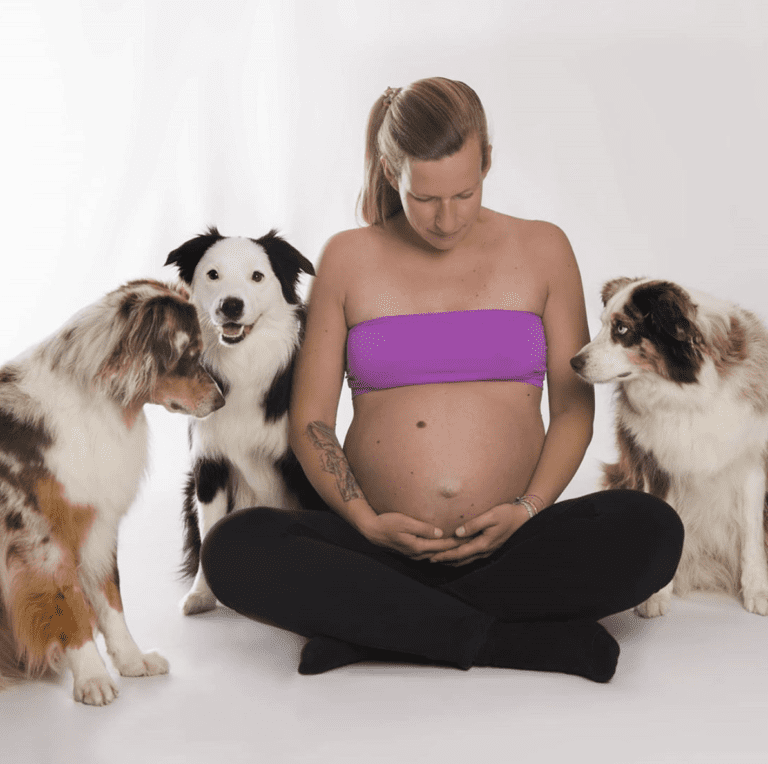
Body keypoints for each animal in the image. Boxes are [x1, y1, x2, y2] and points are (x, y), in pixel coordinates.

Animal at [1, 280, 225, 704]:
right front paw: (92, 677)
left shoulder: (98, 523)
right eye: (188, 354)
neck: (99, 405)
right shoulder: (42, 538)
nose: (221, 400)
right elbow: (70, 603)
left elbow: (111, 599)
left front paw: (132, 661)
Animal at [166, 227, 322, 616]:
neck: (243, 363)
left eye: (257, 276)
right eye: (213, 274)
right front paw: (202, 594)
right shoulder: (209, 465)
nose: (231, 305)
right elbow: (210, 533)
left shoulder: (298, 464)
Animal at [568, 278, 768, 616]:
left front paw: (758, 590)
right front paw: (655, 595)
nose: (573, 362)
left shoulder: (751, 460)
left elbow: (752, 534)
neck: (686, 393)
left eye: (622, 328)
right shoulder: (655, 463)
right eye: (603, 324)